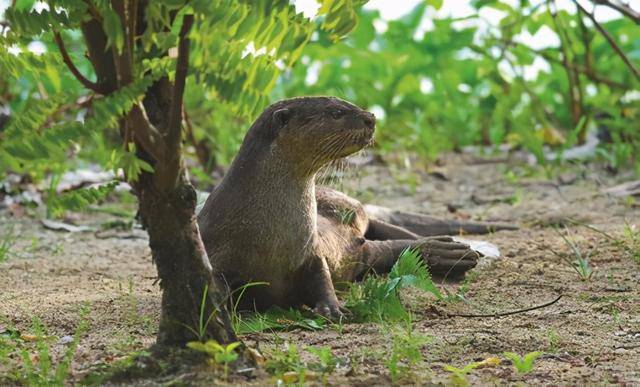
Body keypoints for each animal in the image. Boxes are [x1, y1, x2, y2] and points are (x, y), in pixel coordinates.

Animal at [199, 97, 516, 318]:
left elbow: (320, 277)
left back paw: (452, 249)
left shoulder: (310, 251)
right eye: (336, 113)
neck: (268, 234)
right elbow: (218, 285)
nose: (371, 117)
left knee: (395, 241)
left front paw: (332, 307)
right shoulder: (216, 251)